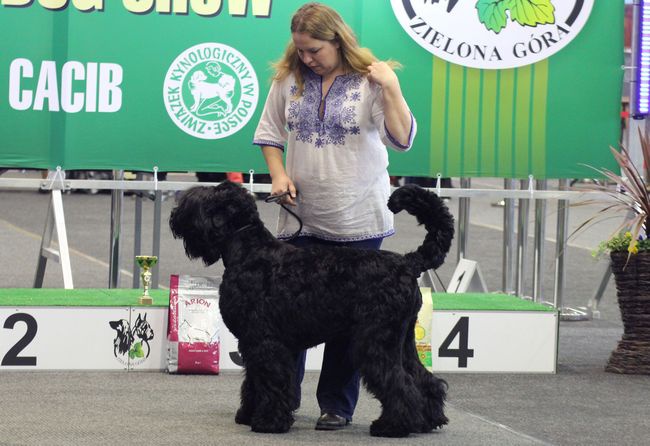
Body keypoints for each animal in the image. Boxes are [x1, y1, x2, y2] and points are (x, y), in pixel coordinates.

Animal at [170, 180, 454, 436]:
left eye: (203, 199)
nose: (175, 215)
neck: (250, 251)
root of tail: (408, 263)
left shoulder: (265, 342)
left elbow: (270, 381)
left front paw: (269, 422)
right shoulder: (252, 344)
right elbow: (253, 380)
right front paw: (248, 414)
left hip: (375, 342)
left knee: (399, 382)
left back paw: (392, 426)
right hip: (402, 341)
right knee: (423, 379)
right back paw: (428, 421)